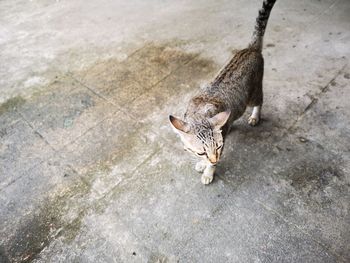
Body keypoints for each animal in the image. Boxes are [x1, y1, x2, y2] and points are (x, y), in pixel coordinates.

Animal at [169, 0, 276, 186]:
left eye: (218, 148)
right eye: (201, 152)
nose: (214, 159)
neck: (199, 112)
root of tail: (250, 49)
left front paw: (208, 171)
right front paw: (202, 164)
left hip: (254, 93)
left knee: (260, 101)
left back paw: (255, 116)